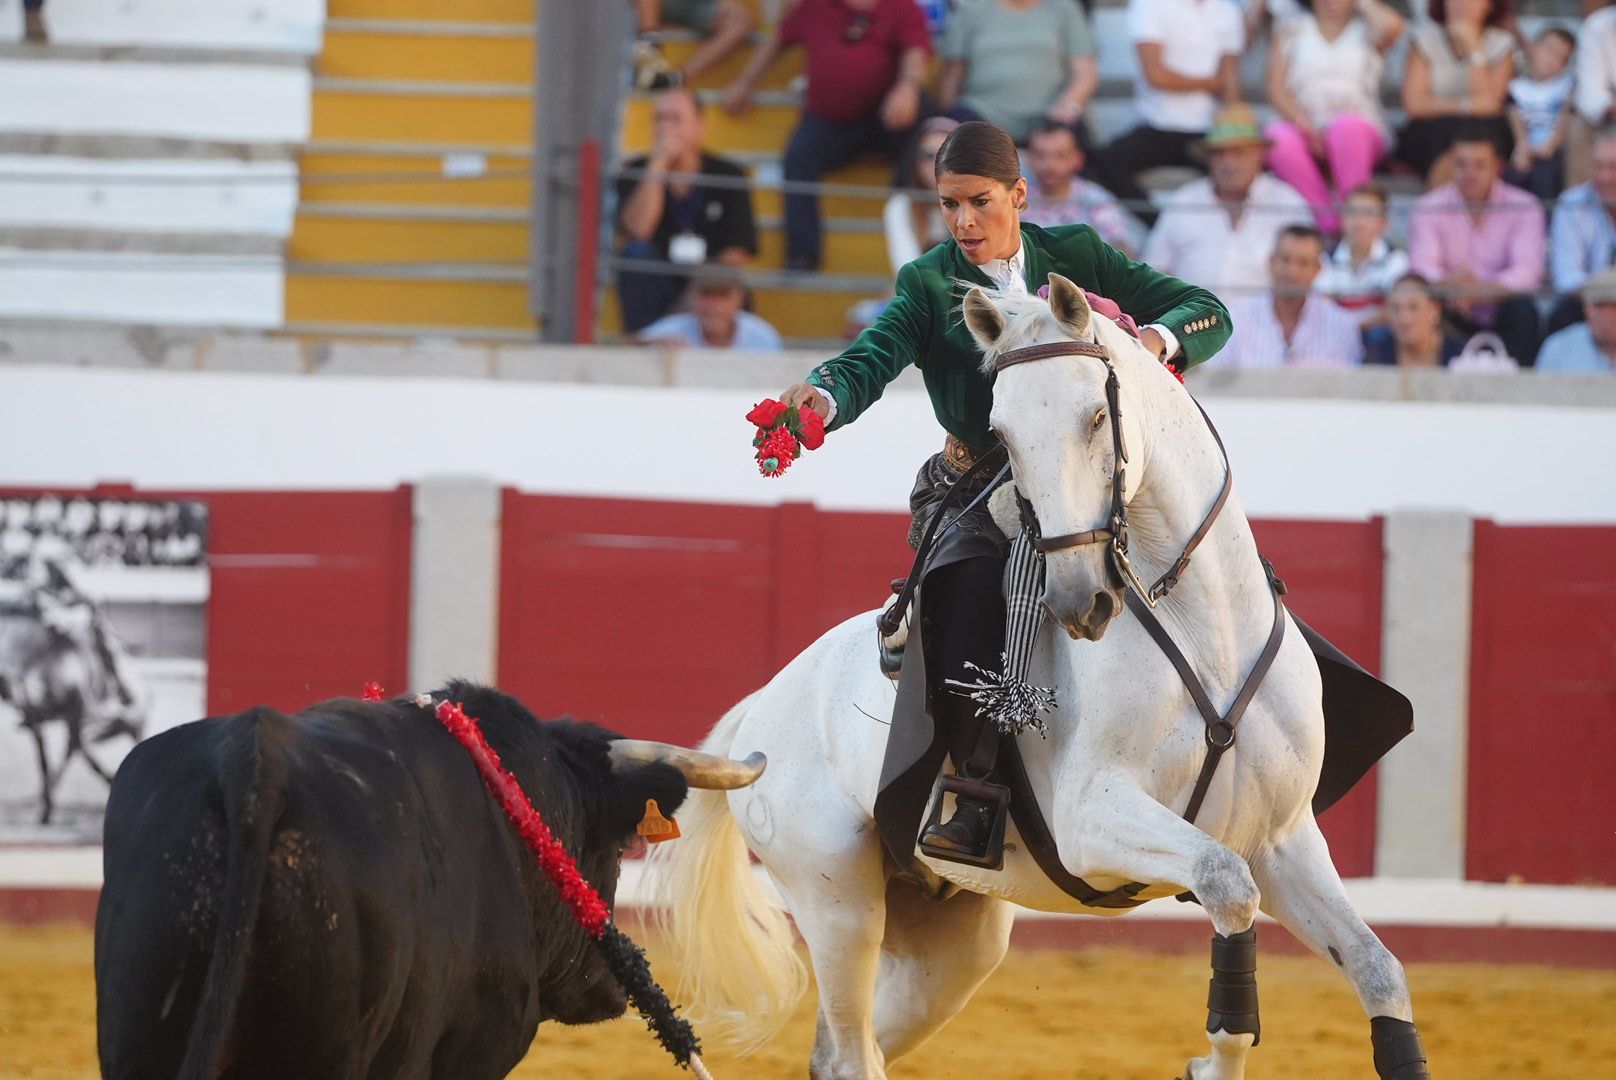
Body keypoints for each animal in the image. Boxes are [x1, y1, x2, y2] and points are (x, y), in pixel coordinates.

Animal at [649, 278, 1435, 1080]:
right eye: (1005, 433)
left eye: (1097, 416)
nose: (1077, 600)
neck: (1202, 625)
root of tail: (764, 706)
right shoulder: (1093, 818)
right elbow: (1225, 891)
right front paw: (1208, 1062)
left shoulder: (1282, 837)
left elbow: (1378, 969)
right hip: (837, 901)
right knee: (851, 1049)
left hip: (947, 940)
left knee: (848, 1049)